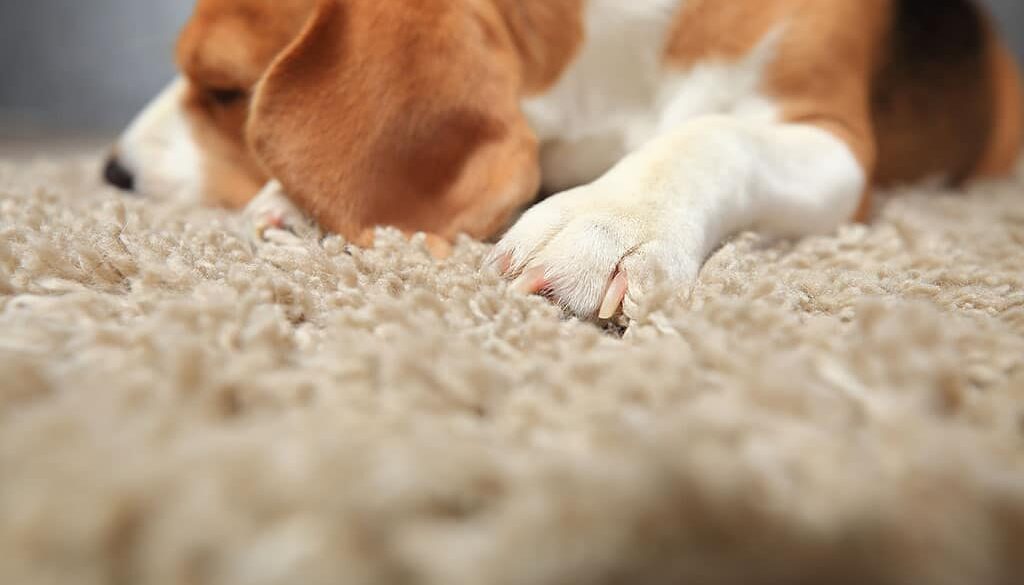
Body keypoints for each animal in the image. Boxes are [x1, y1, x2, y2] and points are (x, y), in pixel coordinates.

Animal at [105, 0, 1024, 319]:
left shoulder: (835, 144)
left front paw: (608, 218)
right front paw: (298, 203)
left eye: (227, 89)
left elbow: (712, 132)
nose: (112, 172)